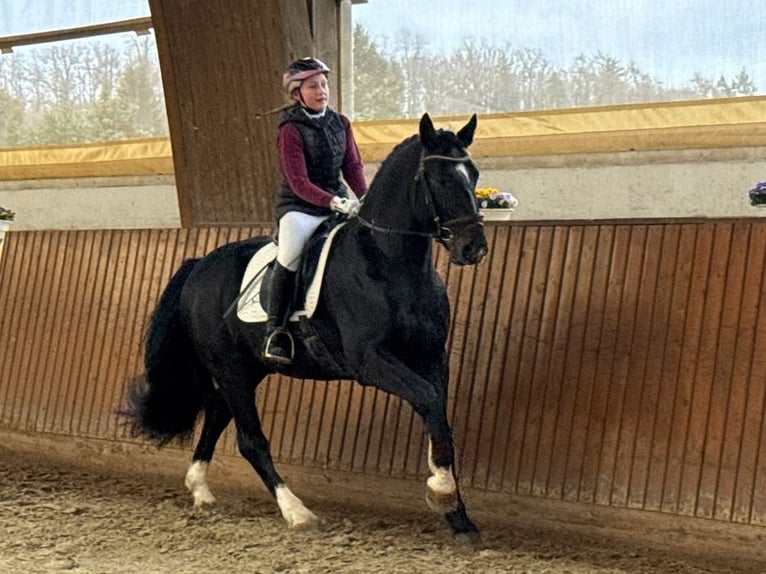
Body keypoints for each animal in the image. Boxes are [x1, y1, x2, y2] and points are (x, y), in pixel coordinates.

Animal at [124, 113, 489, 547]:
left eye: (474, 173)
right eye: (439, 178)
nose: (473, 248)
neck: (390, 263)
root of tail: (199, 265)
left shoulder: (433, 356)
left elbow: (439, 419)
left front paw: (459, 518)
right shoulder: (370, 362)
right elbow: (428, 401)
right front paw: (442, 493)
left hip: (244, 369)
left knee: (215, 414)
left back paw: (200, 489)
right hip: (231, 369)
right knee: (250, 440)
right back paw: (297, 512)